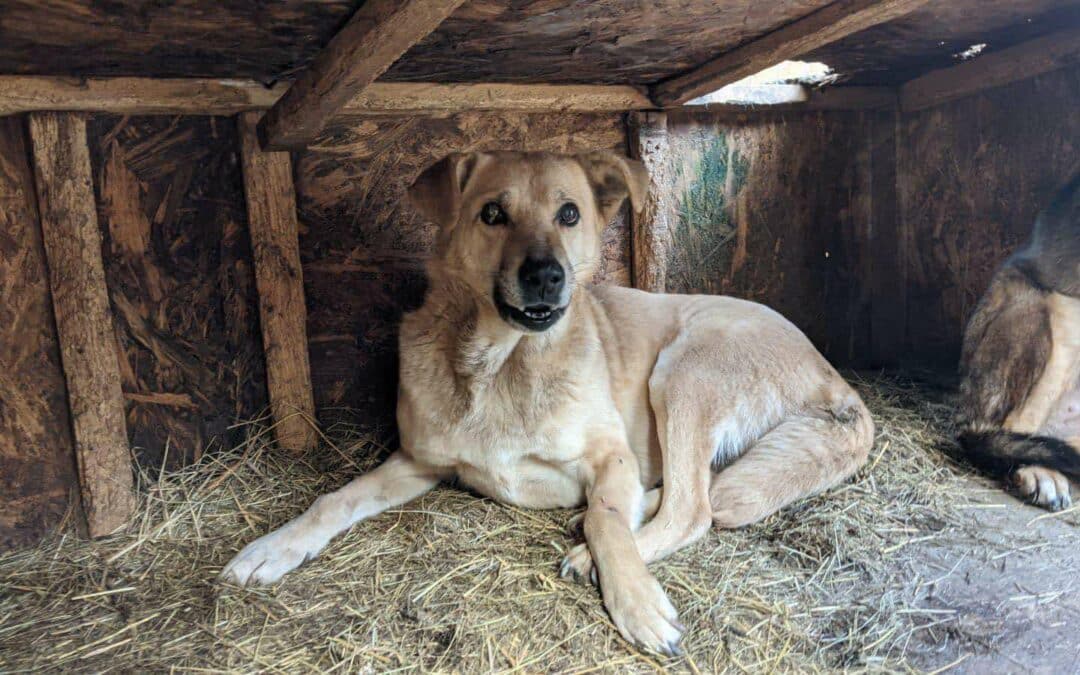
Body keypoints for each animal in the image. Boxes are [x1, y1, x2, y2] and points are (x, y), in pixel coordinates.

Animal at [221, 150, 876, 652]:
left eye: (569, 214)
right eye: (492, 213)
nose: (545, 275)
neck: (501, 365)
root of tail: (833, 377)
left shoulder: (611, 455)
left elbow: (606, 517)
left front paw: (634, 597)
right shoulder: (417, 461)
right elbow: (334, 499)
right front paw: (272, 548)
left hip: (684, 369)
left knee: (695, 507)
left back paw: (602, 550)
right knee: (696, 494)